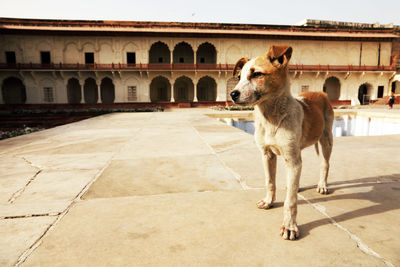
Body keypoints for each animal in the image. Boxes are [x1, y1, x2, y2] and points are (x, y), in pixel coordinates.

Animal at [230, 45, 332, 242]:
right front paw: (268, 202)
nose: (232, 94)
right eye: (239, 77)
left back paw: (322, 185)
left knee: (325, 164)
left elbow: (290, 201)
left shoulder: (292, 160)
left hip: (326, 140)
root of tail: (321, 92)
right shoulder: (267, 154)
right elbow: (270, 182)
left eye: (257, 74)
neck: (271, 117)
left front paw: (289, 226)